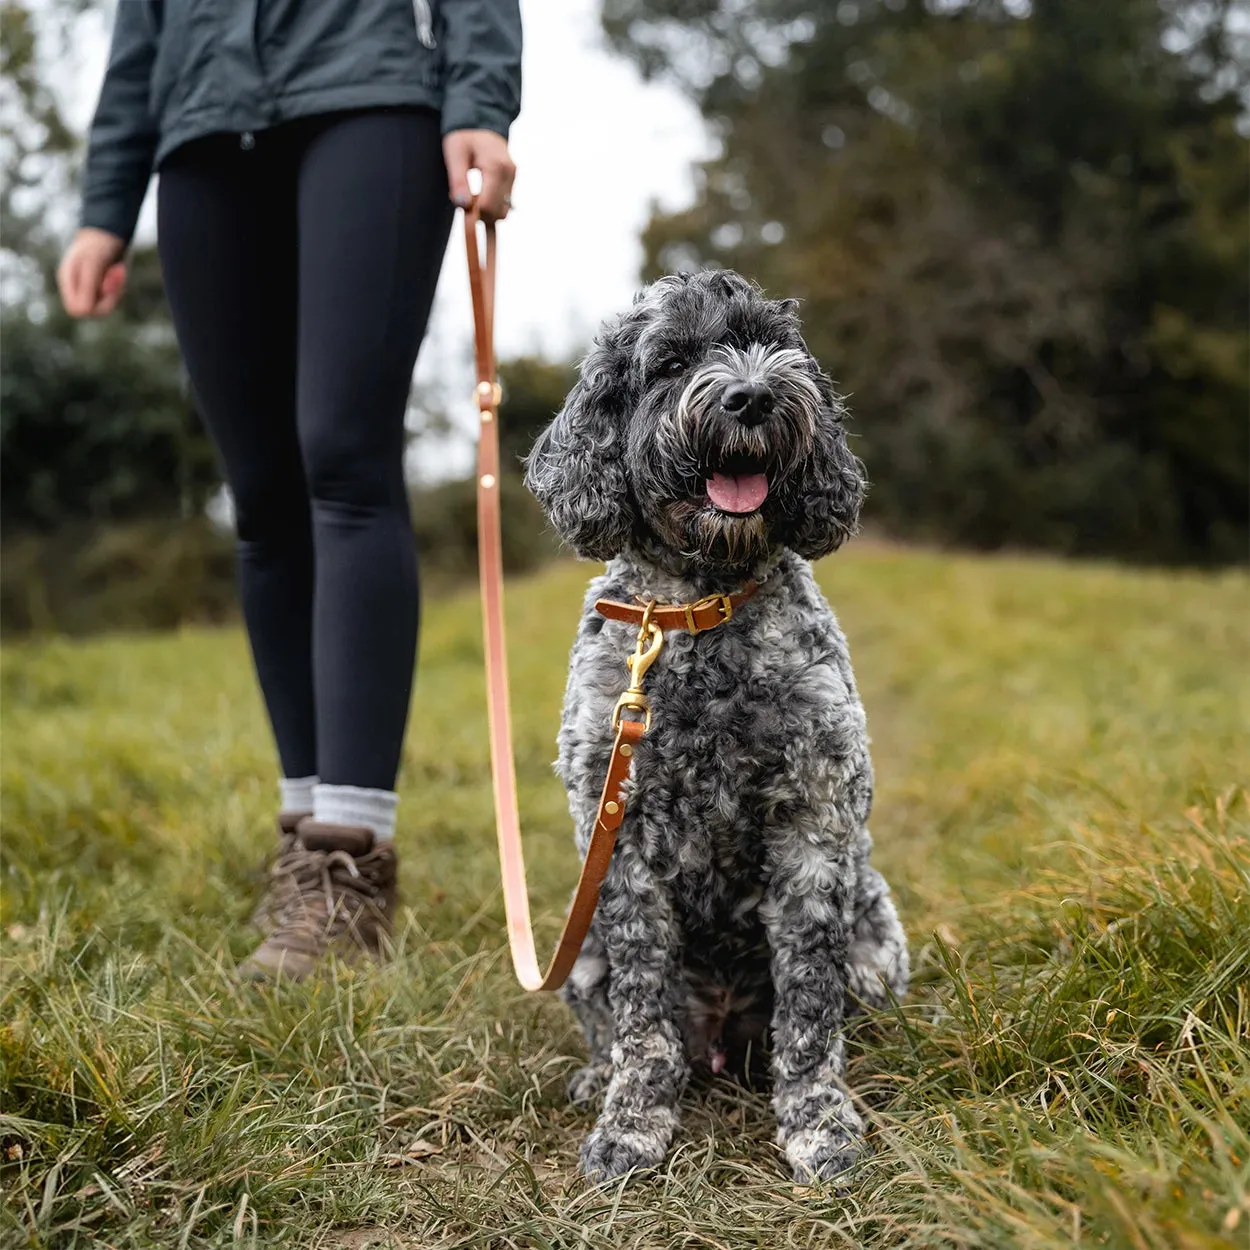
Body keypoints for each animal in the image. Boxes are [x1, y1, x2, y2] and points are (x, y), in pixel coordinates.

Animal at [520, 271, 910, 1180]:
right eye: (669, 361)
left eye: (771, 344)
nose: (752, 396)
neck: (700, 608)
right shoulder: (621, 852)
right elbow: (643, 1024)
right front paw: (631, 1124)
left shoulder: (811, 827)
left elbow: (809, 1007)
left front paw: (820, 1125)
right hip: (582, 948)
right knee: (620, 1029)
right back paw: (598, 1080)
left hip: (877, 932)